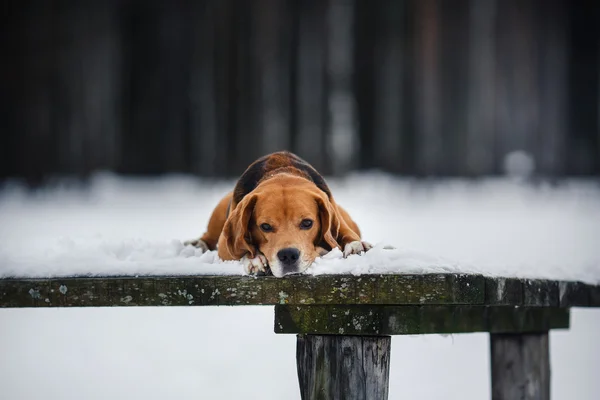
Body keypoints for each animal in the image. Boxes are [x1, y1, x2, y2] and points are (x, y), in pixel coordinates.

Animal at [185, 152, 370, 276]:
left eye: (307, 223)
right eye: (265, 226)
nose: (288, 255)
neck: (281, 172)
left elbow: (346, 234)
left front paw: (355, 246)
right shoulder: (225, 246)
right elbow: (241, 247)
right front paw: (254, 259)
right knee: (208, 236)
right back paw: (198, 244)